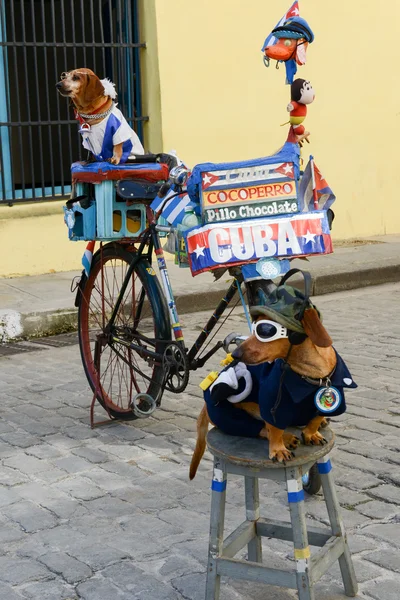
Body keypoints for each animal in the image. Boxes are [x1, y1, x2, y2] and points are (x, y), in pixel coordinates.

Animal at [191, 300, 356, 478]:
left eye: (265, 331)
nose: (235, 354)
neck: (308, 374)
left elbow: (316, 418)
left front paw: (312, 432)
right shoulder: (271, 404)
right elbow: (274, 430)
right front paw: (278, 449)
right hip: (228, 416)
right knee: (261, 429)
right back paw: (287, 438)